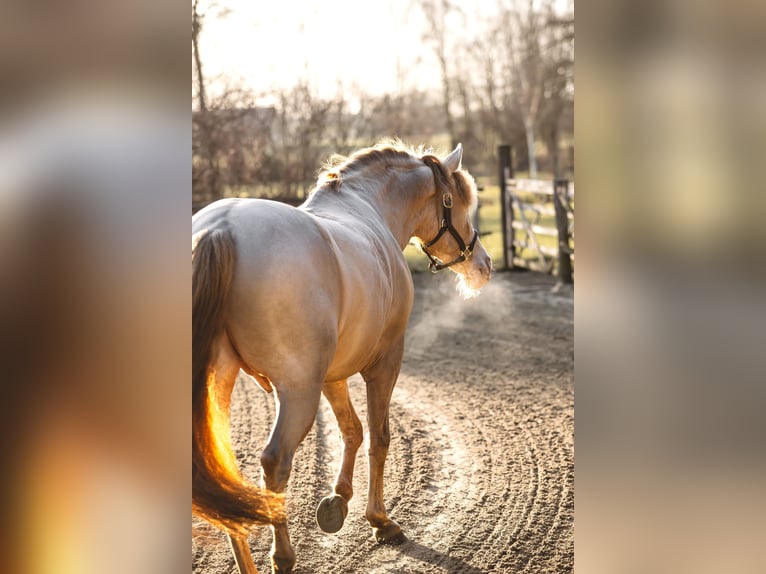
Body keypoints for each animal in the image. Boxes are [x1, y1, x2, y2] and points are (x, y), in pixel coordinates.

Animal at [192, 141, 492, 573]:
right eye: (460, 203)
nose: (484, 264)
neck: (365, 206)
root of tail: (219, 230)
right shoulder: (385, 362)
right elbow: (380, 437)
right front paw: (380, 520)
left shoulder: (333, 375)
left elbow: (352, 429)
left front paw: (338, 500)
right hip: (298, 391)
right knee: (275, 462)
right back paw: (283, 556)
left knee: (222, 468)